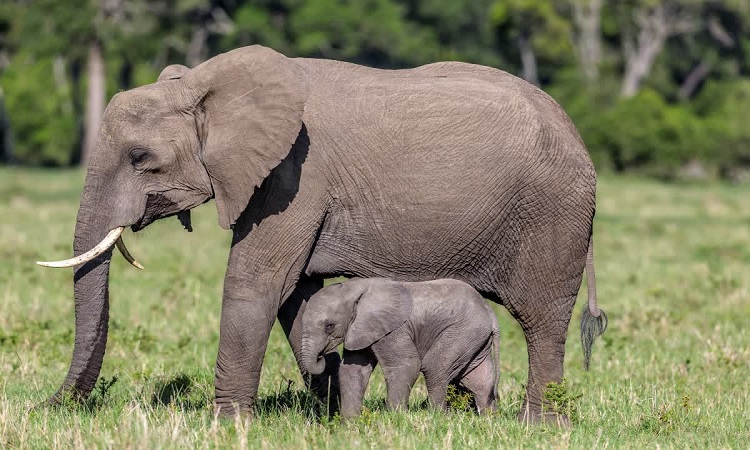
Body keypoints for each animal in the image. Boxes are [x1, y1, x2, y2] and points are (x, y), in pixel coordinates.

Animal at [300, 278, 500, 418]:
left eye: (330, 326)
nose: (322, 357)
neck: (355, 288)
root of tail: (490, 313)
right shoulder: (360, 330)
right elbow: (353, 371)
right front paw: (349, 424)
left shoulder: (394, 330)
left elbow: (406, 365)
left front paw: (396, 419)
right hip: (473, 338)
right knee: (480, 380)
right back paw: (488, 420)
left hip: (462, 331)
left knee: (434, 368)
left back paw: (438, 418)